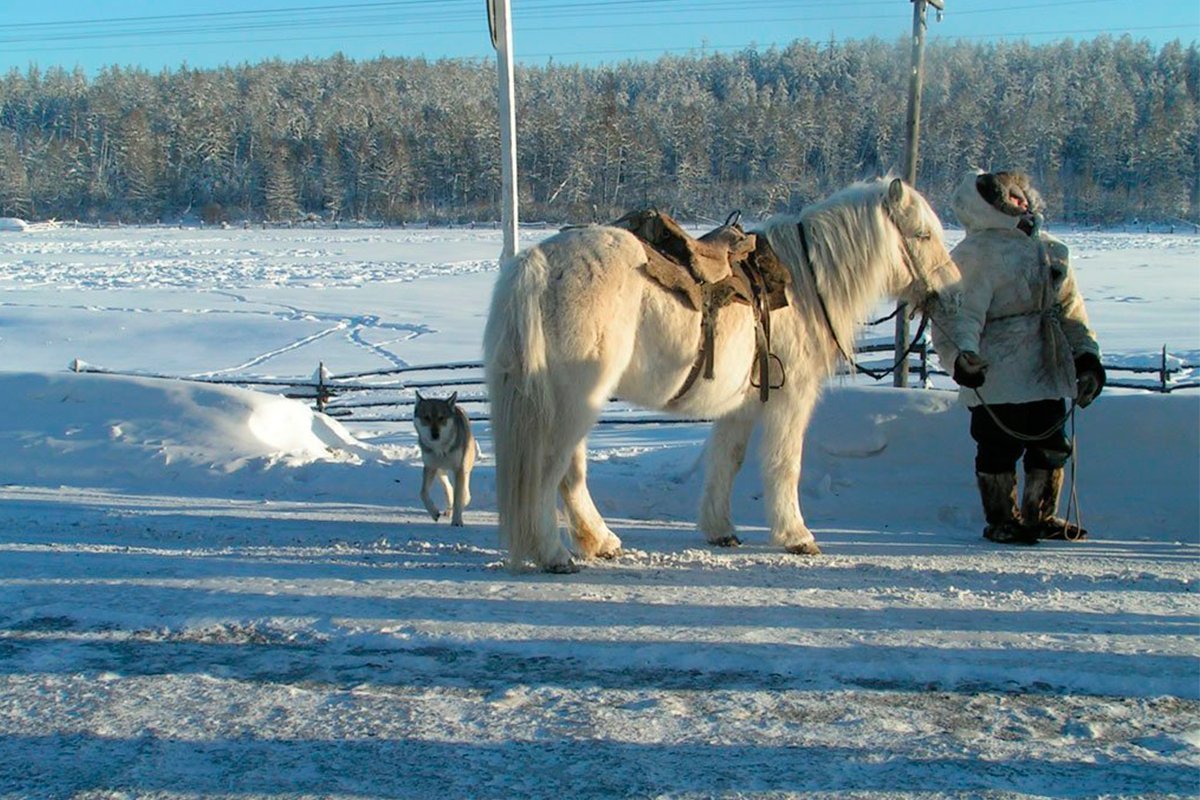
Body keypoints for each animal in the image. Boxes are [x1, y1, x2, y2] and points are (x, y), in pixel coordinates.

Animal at [408, 393, 472, 525]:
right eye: (426, 417)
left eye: (441, 418)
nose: (435, 434)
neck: (441, 449)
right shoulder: (430, 467)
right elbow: (423, 493)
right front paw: (434, 513)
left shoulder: (459, 469)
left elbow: (458, 498)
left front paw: (457, 521)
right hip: (439, 471)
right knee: (448, 488)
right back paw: (448, 511)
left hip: (464, 467)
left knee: (463, 490)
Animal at [482, 178, 960, 573]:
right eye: (922, 235)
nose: (953, 291)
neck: (804, 285)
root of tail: (539, 262)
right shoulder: (792, 398)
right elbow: (784, 464)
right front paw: (797, 537)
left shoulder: (742, 404)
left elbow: (727, 460)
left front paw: (720, 530)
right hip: (574, 401)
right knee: (550, 470)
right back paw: (553, 554)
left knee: (570, 473)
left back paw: (600, 541)